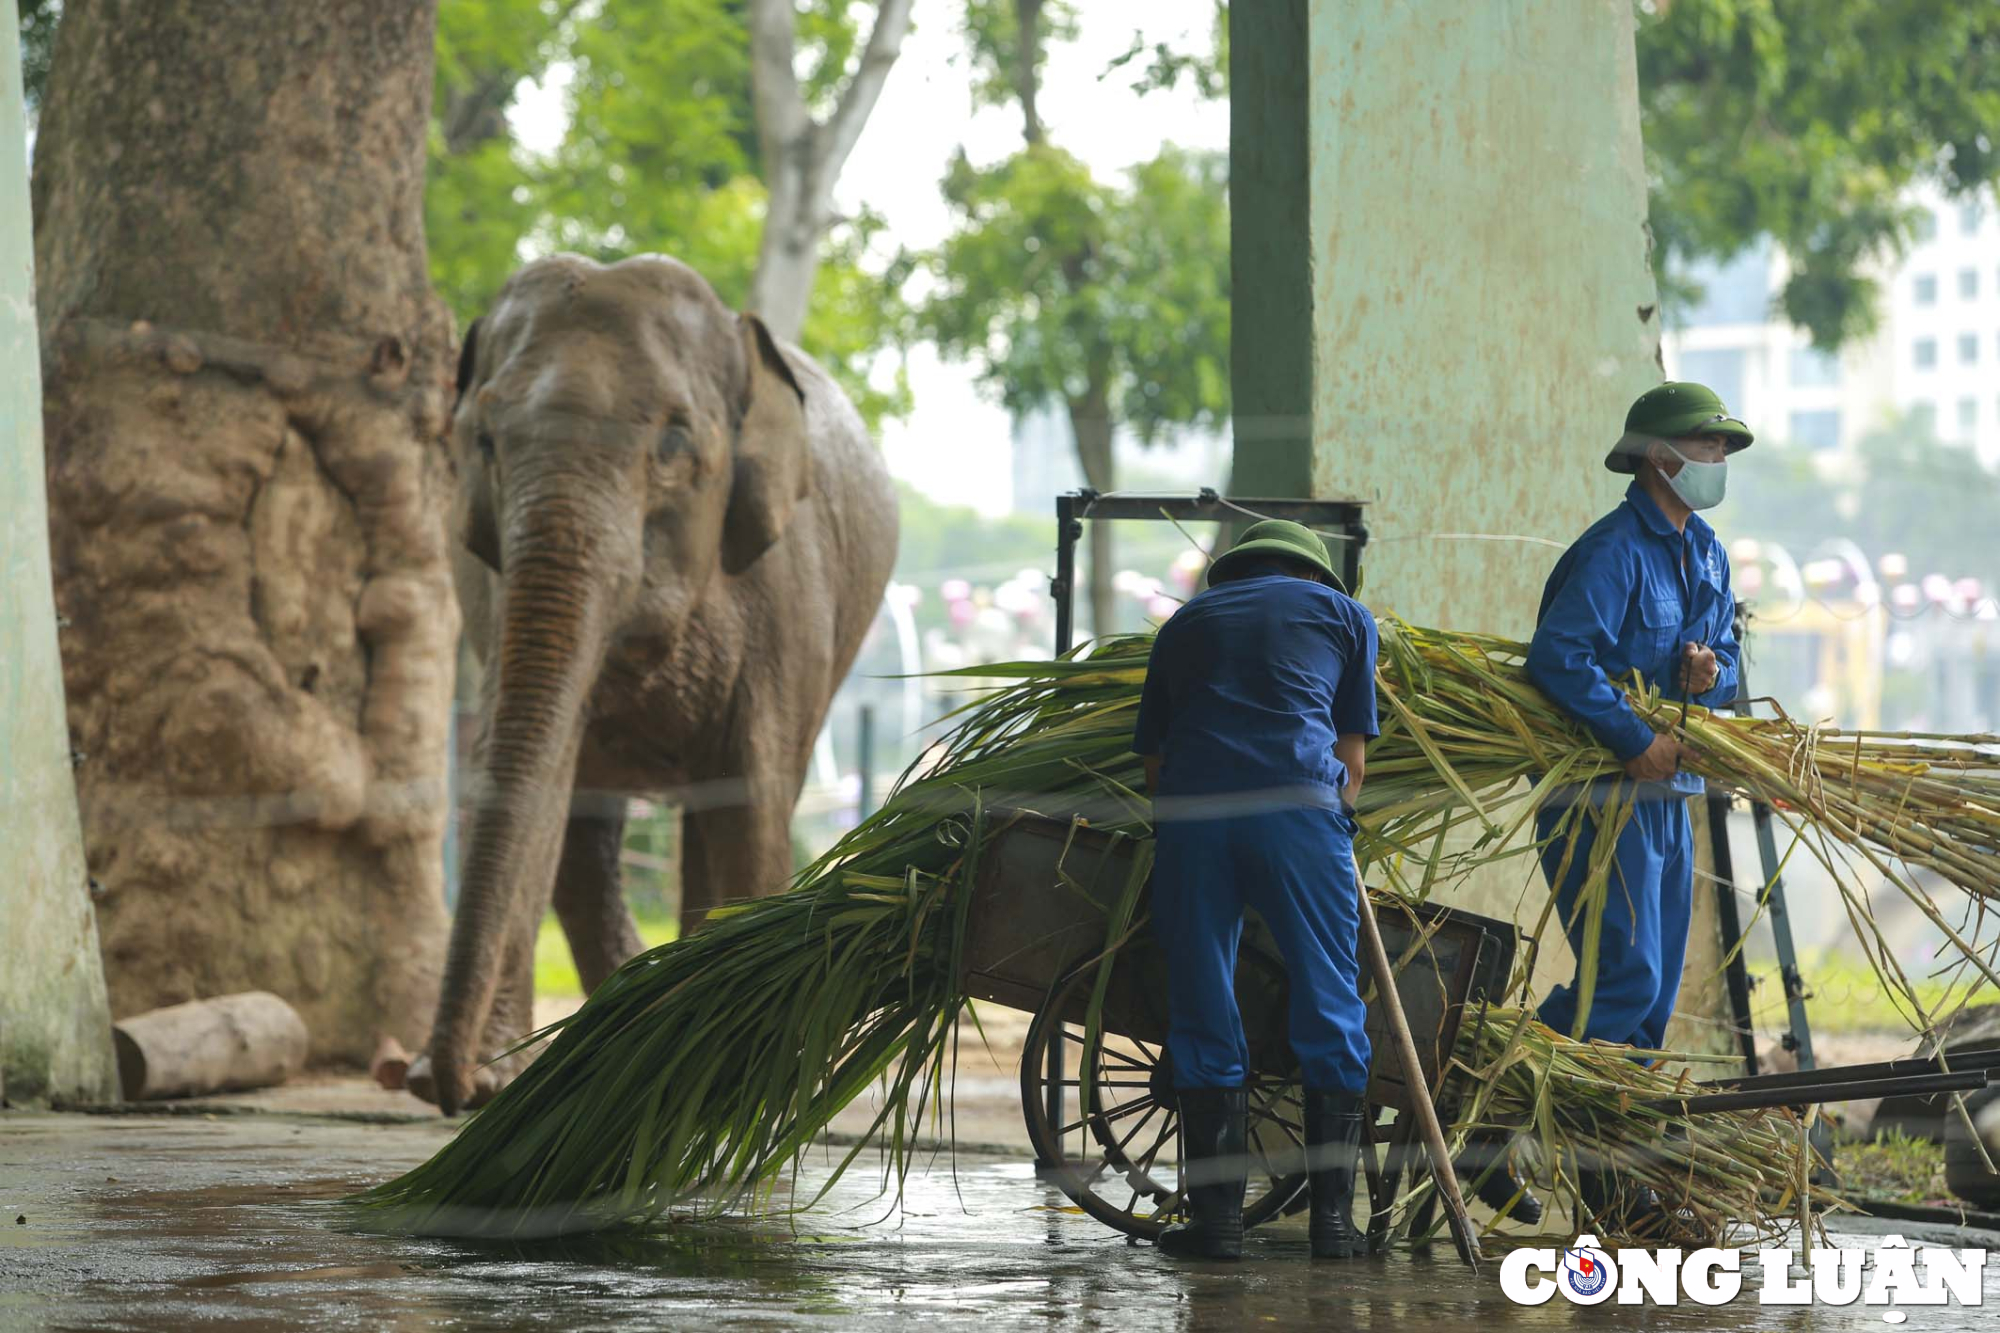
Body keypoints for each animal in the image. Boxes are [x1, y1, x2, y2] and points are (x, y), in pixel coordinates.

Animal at [410, 252, 896, 1112]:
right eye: (485, 441)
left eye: (674, 439)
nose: (438, 1080)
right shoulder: (495, 590)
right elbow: (542, 789)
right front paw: (502, 1078)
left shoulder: (785, 592)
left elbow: (751, 801)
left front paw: (747, 1077)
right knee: (587, 834)